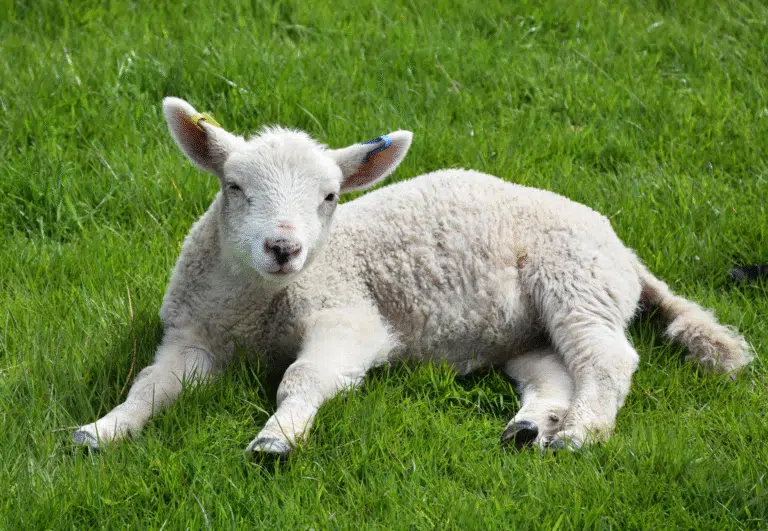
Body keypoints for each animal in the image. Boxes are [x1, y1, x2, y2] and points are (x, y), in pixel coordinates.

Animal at [73, 97, 753, 454]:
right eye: (233, 187)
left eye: (328, 197)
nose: (283, 248)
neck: (254, 306)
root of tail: (623, 248)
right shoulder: (190, 335)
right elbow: (151, 387)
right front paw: (102, 430)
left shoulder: (350, 317)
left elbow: (305, 376)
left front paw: (275, 440)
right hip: (525, 327)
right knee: (554, 370)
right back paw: (530, 426)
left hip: (575, 277)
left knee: (607, 358)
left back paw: (581, 432)